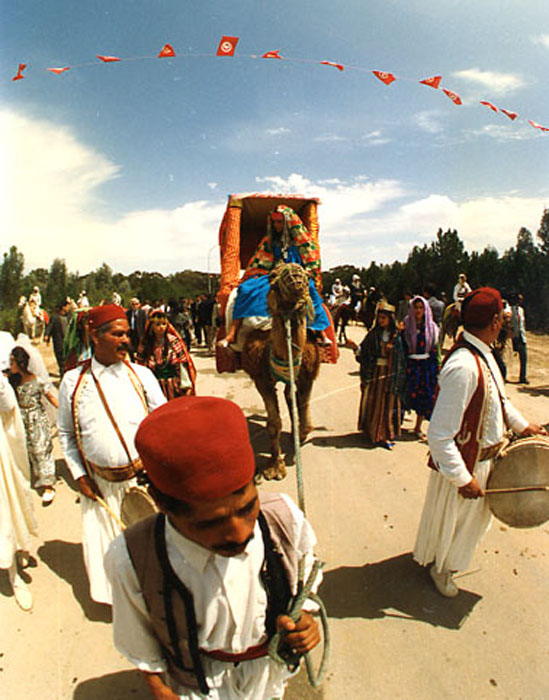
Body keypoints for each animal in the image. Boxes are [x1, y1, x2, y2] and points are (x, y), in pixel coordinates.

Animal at [239, 262, 322, 482]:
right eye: (273, 277)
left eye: (306, 274)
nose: (296, 277)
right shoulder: (262, 379)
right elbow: (273, 423)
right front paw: (275, 467)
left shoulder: (308, 373)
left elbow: (303, 415)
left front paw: (300, 436)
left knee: (291, 397)